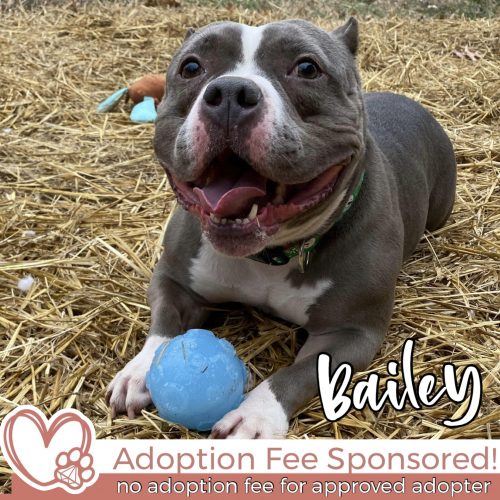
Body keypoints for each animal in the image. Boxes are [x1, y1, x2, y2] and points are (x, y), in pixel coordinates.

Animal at [106, 18, 456, 438]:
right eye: (191, 67)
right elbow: (163, 327)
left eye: (307, 68)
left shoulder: (351, 333)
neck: (268, 255)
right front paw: (140, 371)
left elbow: (297, 374)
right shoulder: (174, 279)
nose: (230, 92)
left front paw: (254, 416)